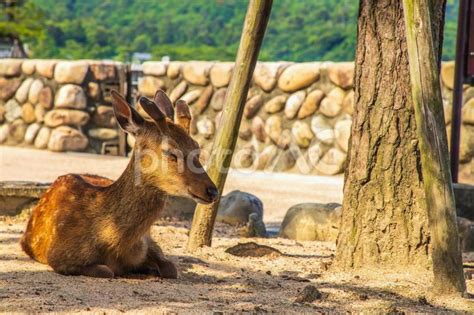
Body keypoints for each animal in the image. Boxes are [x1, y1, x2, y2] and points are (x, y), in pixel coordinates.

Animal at [19, 89, 217, 278]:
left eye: (197, 148)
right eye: (171, 152)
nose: (212, 191)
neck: (112, 243)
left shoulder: (149, 242)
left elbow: (171, 268)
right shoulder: (59, 256)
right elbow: (107, 271)